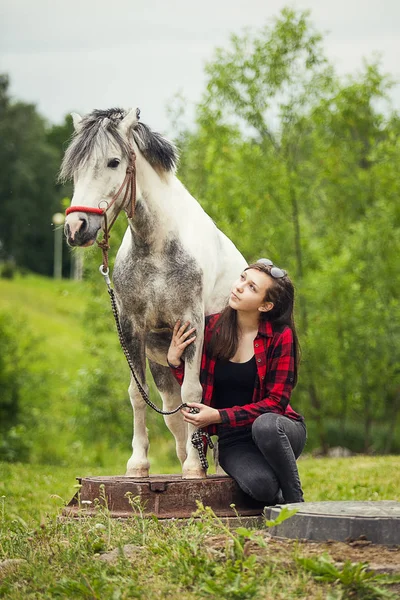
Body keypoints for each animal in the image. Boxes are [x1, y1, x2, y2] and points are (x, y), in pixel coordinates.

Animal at [61, 108, 247, 478]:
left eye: (114, 162)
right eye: (75, 168)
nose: (76, 229)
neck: (158, 247)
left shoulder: (191, 323)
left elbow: (194, 393)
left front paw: (194, 469)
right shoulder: (132, 327)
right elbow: (138, 393)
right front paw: (139, 464)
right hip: (161, 361)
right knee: (173, 414)